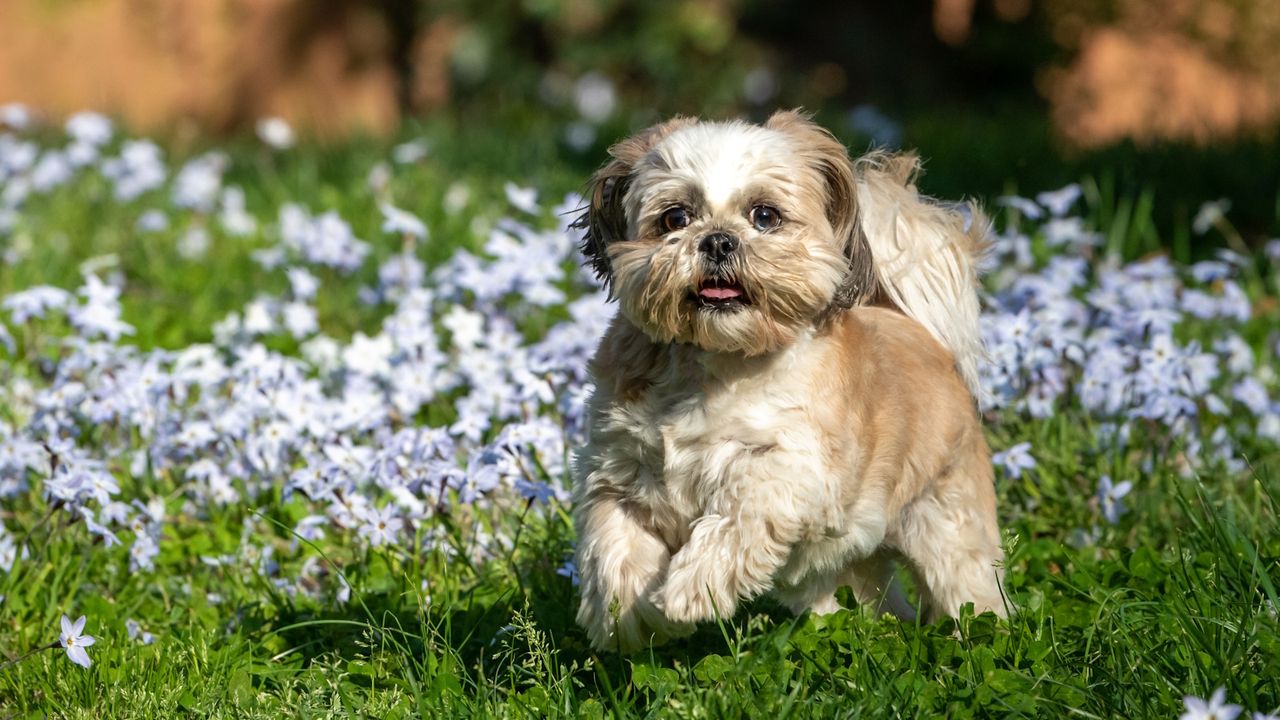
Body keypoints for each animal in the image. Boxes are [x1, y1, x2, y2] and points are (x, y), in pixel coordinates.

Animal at [568, 110, 998, 650]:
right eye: (675, 218)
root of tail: (924, 334)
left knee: (967, 586)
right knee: (868, 598)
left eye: (765, 216)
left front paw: (689, 591)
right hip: (849, 564)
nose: (718, 239)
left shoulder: (798, 470)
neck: (714, 365)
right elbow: (614, 551)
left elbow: (744, 507)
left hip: (944, 522)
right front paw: (632, 618)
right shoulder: (617, 470)